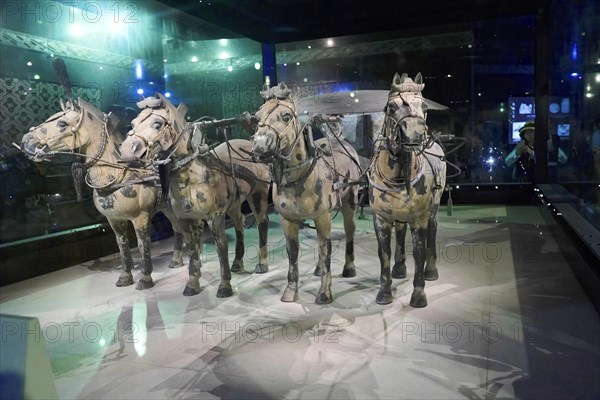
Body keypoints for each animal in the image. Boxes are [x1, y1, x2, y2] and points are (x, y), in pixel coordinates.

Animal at [20, 98, 185, 290]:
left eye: (62, 123)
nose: (26, 141)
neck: (119, 174)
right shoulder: (114, 220)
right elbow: (122, 245)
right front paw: (125, 277)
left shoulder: (141, 217)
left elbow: (143, 245)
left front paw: (145, 279)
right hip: (167, 207)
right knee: (177, 227)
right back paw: (176, 260)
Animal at [119, 94, 270, 296]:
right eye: (133, 123)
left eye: (157, 124)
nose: (128, 150)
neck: (193, 178)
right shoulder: (185, 219)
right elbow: (192, 249)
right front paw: (192, 284)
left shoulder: (215, 216)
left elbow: (221, 247)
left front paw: (224, 286)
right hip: (235, 204)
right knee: (240, 224)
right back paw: (238, 263)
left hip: (259, 195)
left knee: (262, 224)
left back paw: (261, 264)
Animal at [250, 83, 360, 304]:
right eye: (258, 117)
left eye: (286, 116)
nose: (260, 148)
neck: (301, 177)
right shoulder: (289, 220)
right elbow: (293, 251)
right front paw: (291, 291)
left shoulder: (323, 216)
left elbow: (326, 250)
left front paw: (324, 293)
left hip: (349, 203)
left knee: (349, 231)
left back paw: (349, 267)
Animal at [368, 72, 448, 308]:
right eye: (392, 107)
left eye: (425, 107)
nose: (414, 135)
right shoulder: (381, 218)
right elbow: (383, 253)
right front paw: (384, 293)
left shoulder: (419, 218)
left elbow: (419, 252)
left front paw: (419, 295)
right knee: (401, 231)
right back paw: (400, 268)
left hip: (434, 207)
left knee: (433, 231)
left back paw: (431, 270)